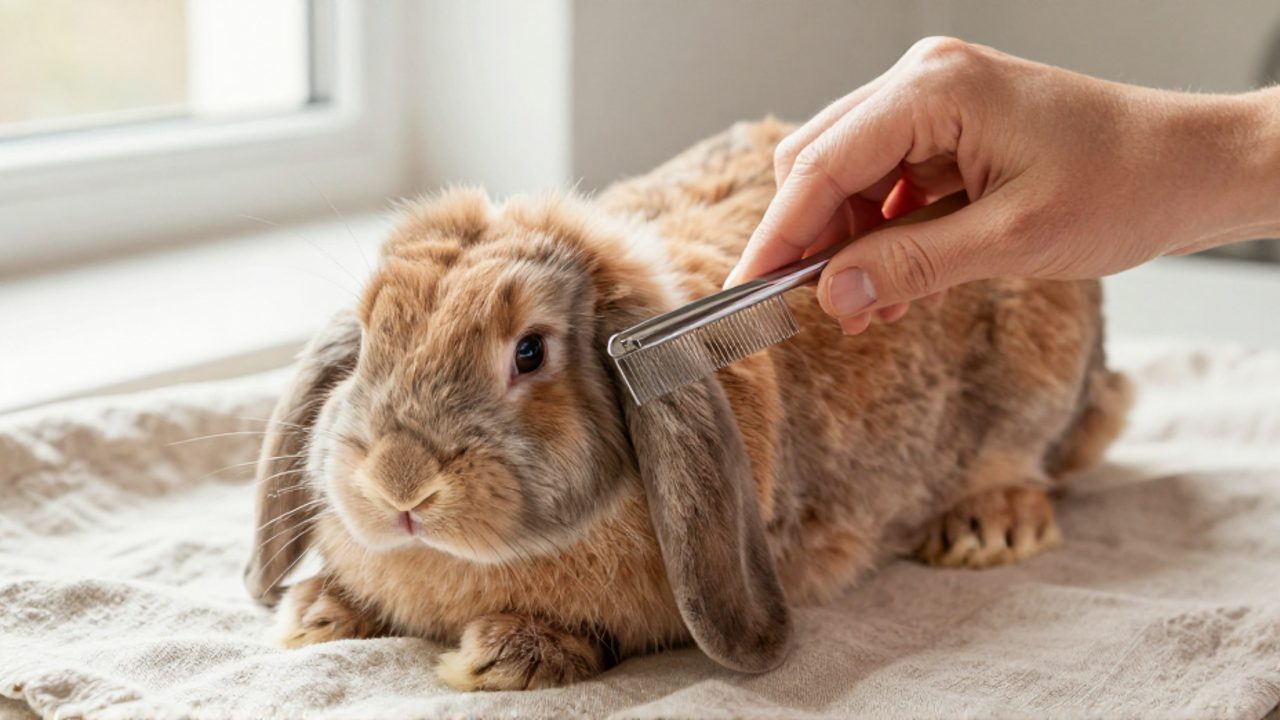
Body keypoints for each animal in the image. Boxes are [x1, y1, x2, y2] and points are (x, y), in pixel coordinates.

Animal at [244, 119, 1132, 691]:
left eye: (529, 352)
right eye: (368, 335)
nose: (400, 484)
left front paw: (502, 658)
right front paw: (317, 612)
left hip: (1038, 380)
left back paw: (988, 530)